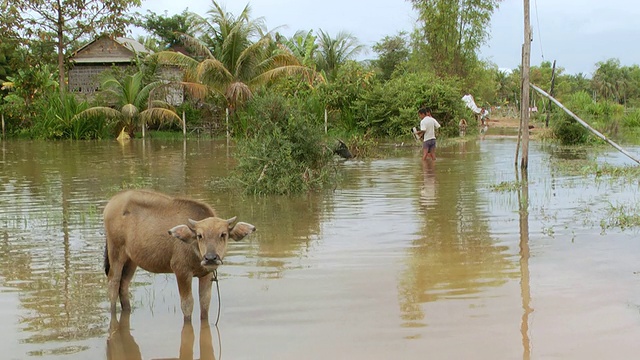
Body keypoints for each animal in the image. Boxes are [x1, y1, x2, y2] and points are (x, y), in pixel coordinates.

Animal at [103, 190, 255, 322]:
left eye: (223, 234)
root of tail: (111, 203)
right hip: (116, 253)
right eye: (200, 235)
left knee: (123, 284)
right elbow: (187, 305)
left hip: (131, 260)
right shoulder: (181, 271)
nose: (211, 258)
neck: (196, 252)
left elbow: (205, 303)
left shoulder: (206, 274)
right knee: (113, 283)